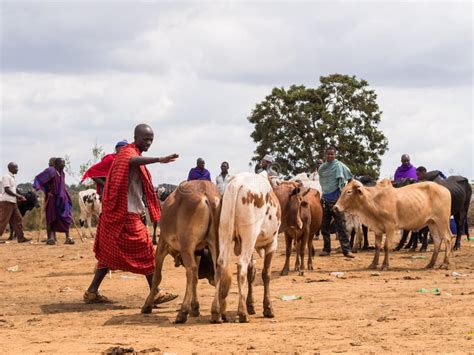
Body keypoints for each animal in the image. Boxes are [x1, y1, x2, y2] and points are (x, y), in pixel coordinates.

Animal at [142, 182, 221, 324]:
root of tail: (207, 194)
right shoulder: (197, 251)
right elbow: (196, 280)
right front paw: (195, 308)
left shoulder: (162, 244)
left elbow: (157, 277)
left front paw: (147, 305)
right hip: (215, 242)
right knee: (215, 270)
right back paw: (215, 312)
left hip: (186, 244)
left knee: (191, 271)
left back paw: (182, 312)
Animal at [211, 173, 282, 326]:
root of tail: (236, 184)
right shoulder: (272, 243)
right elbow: (266, 274)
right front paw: (268, 308)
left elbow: (252, 273)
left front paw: (251, 305)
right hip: (250, 235)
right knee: (241, 266)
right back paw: (242, 312)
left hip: (224, 232)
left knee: (220, 264)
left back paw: (216, 312)